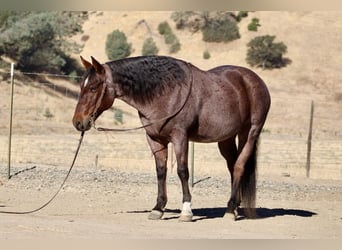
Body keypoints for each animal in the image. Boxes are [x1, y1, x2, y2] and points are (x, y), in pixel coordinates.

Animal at [72, 55, 270, 222]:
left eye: (93, 87)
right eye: (82, 86)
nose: (78, 122)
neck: (166, 93)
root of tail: (254, 80)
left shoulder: (180, 137)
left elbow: (183, 171)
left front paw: (186, 211)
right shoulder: (154, 139)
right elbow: (161, 171)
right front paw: (158, 208)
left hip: (249, 133)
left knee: (238, 167)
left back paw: (230, 210)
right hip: (226, 138)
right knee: (232, 166)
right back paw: (234, 207)